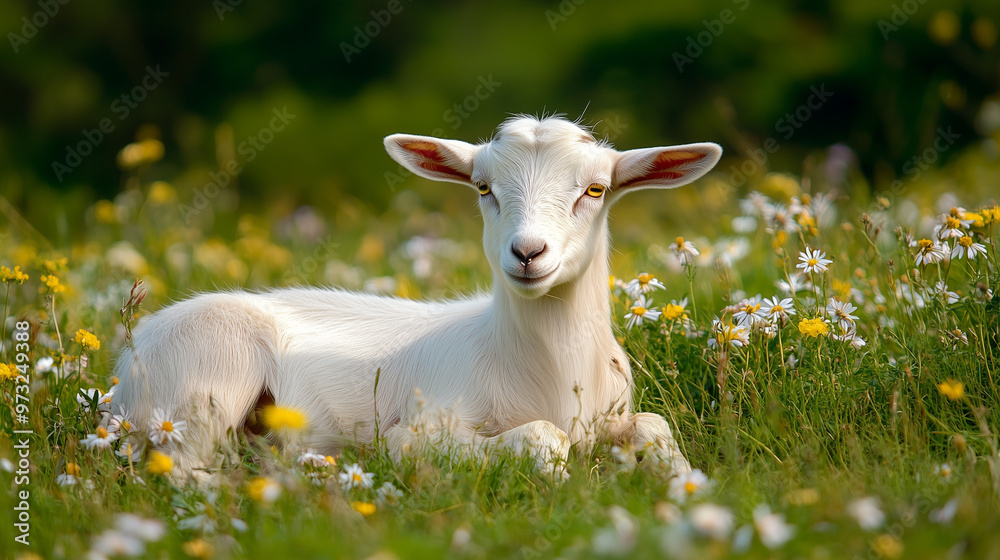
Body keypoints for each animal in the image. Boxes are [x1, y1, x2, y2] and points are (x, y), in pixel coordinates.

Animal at [111, 115, 721, 480]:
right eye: (483, 187)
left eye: (595, 190)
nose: (528, 253)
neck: (546, 371)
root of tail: (124, 369)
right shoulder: (414, 432)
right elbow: (544, 440)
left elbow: (655, 428)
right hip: (203, 379)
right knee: (179, 469)